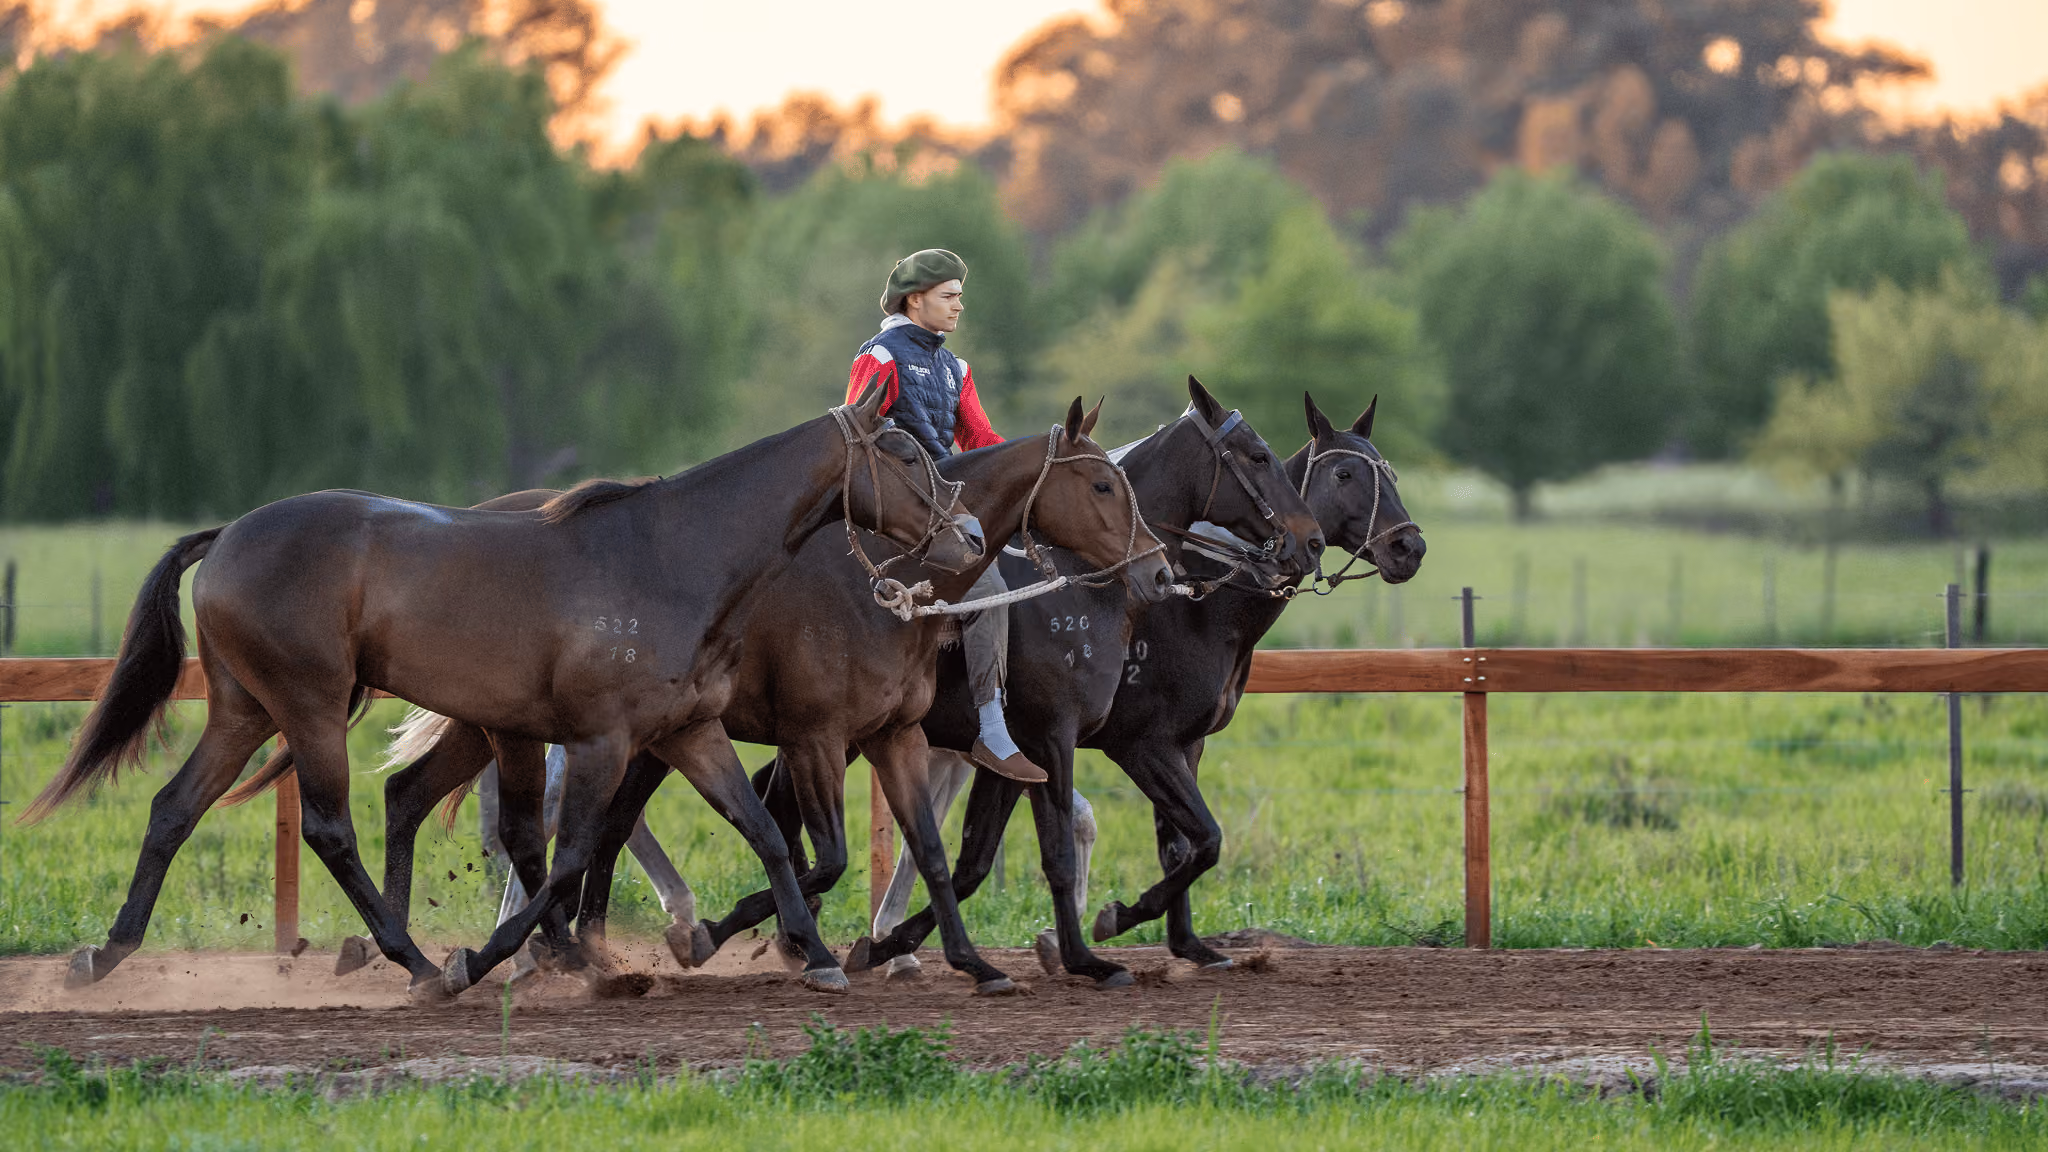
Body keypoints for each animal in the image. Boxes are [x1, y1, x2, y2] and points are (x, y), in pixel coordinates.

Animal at [23, 387, 976, 1000]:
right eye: (903, 453)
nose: (966, 533)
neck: (673, 557)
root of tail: (225, 538)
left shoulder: (689, 733)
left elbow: (768, 837)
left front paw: (812, 956)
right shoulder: (601, 742)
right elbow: (570, 854)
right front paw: (485, 962)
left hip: (245, 709)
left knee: (173, 810)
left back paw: (105, 956)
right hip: (309, 708)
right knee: (331, 828)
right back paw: (412, 961)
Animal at [854, 391, 1425, 981]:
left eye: (1389, 473)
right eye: (1344, 472)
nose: (1410, 546)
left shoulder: (1175, 746)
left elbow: (1182, 846)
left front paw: (1186, 944)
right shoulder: (1131, 744)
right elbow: (1193, 839)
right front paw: (1103, 927)